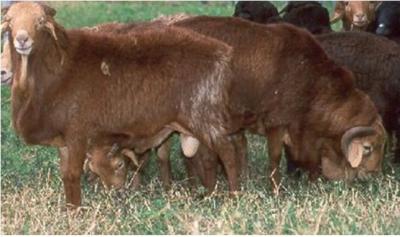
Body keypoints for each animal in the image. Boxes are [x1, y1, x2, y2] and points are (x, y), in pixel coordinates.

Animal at [2, 1, 238, 206]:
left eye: (40, 21)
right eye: (10, 21)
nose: (22, 40)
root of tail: (222, 52)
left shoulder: (78, 132)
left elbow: (74, 173)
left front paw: (77, 212)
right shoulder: (64, 140)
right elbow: (66, 175)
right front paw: (70, 210)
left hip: (203, 114)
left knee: (227, 152)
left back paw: (234, 195)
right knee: (209, 156)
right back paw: (209, 193)